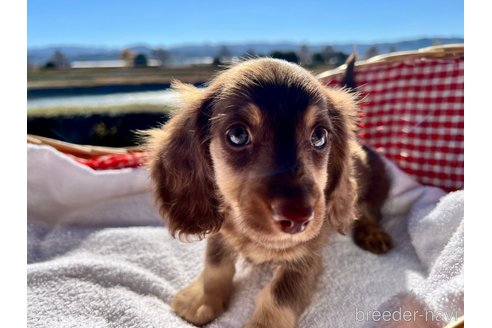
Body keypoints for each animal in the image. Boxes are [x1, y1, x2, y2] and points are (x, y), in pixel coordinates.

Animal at [143, 59, 392, 328]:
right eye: (238, 135)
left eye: (319, 136)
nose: (298, 218)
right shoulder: (221, 232)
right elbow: (215, 265)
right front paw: (201, 299)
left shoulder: (304, 258)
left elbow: (278, 296)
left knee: (369, 212)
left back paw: (373, 233)